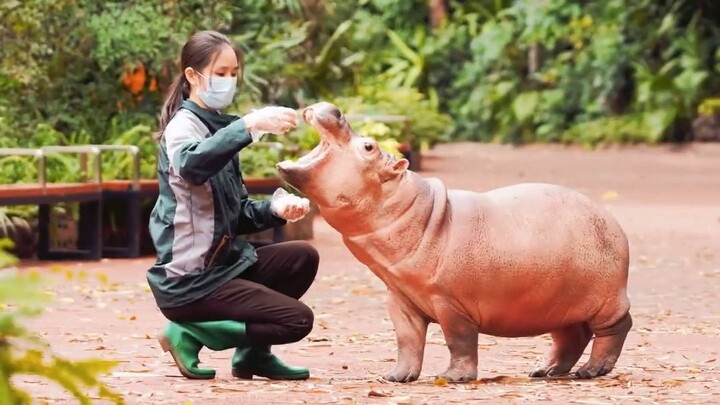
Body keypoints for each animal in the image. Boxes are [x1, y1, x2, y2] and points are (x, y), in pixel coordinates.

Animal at [276, 102, 633, 383]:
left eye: (369, 146)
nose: (334, 108)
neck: (410, 208)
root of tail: (613, 220)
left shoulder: (450, 302)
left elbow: (458, 340)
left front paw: (452, 377)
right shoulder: (401, 298)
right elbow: (407, 340)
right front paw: (395, 377)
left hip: (603, 299)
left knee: (615, 328)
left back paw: (591, 371)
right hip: (558, 304)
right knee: (572, 336)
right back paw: (545, 371)